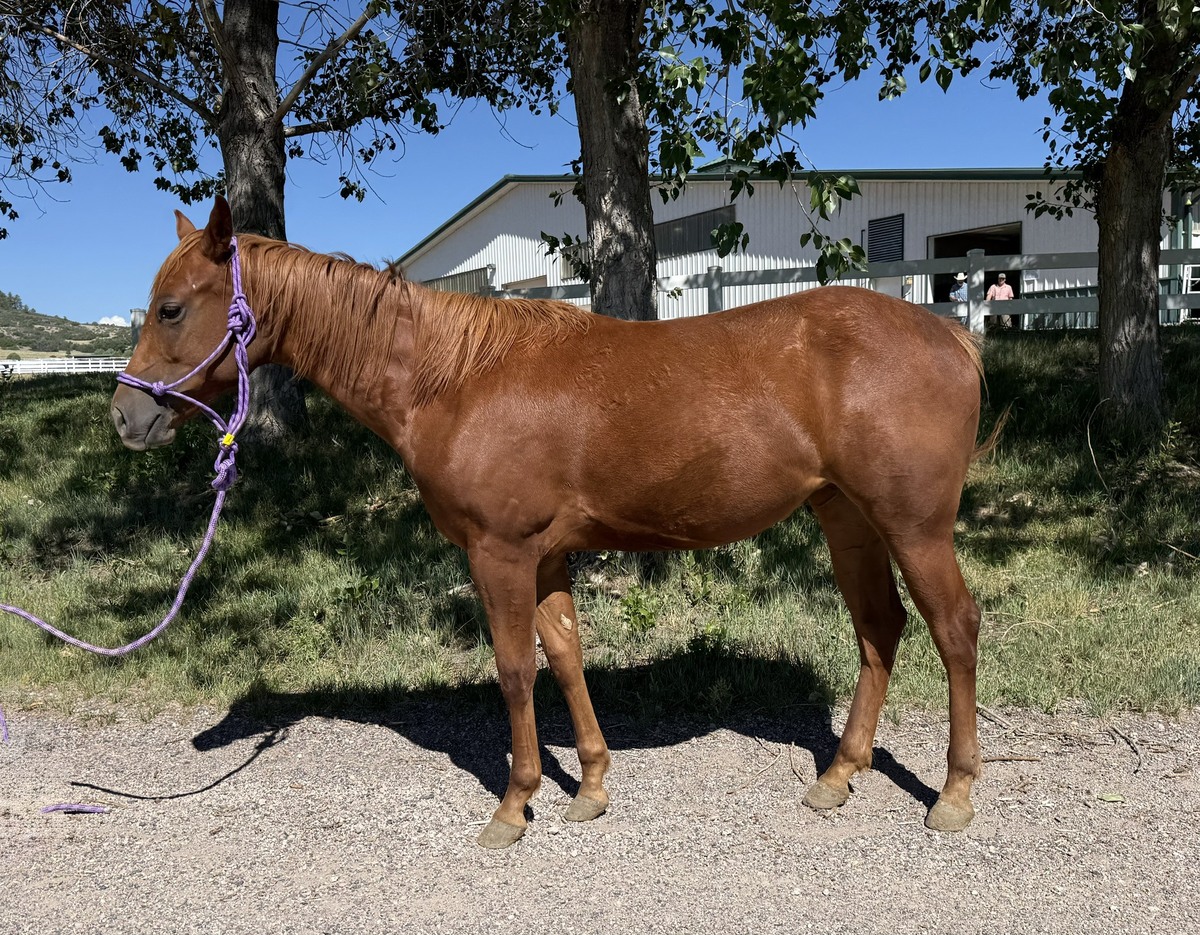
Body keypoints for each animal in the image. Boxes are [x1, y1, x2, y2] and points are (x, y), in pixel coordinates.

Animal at [112, 196, 992, 848]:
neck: (455, 379)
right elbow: (565, 656)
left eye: (170, 307)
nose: (125, 416)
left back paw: (952, 793)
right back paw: (838, 776)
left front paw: (514, 805)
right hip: (847, 517)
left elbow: (514, 670)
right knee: (879, 628)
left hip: (913, 526)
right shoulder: (544, 556)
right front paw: (591, 786)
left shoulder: (498, 553)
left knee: (953, 626)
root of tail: (948, 330)